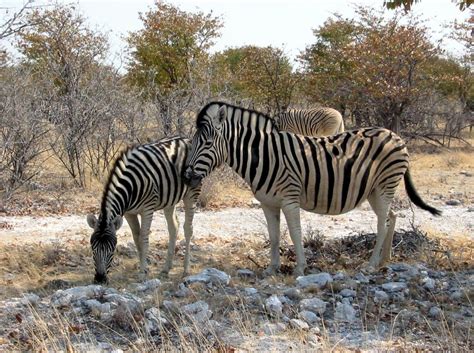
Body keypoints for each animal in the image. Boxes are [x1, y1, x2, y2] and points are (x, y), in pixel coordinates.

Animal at [87, 135, 200, 284]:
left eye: (112, 250)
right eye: (93, 249)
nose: (100, 279)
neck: (129, 186)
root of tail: (186, 138)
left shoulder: (148, 208)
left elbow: (144, 238)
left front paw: (143, 272)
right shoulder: (129, 213)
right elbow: (136, 238)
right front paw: (144, 268)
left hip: (191, 193)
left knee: (188, 229)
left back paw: (186, 270)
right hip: (170, 199)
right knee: (173, 227)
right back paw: (166, 269)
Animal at [183, 100, 442, 276]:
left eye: (207, 143)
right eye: (193, 142)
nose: (186, 177)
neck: (265, 156)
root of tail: (396, 136)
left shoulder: (289, 199)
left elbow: (295, 233)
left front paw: (299, 268)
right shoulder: (267, 203)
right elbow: (274, 236)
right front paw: (272, 269)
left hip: (385, 184)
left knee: (383, 222)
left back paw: (370, 265)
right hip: (375, 191)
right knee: (391, 216)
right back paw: (384, 259)